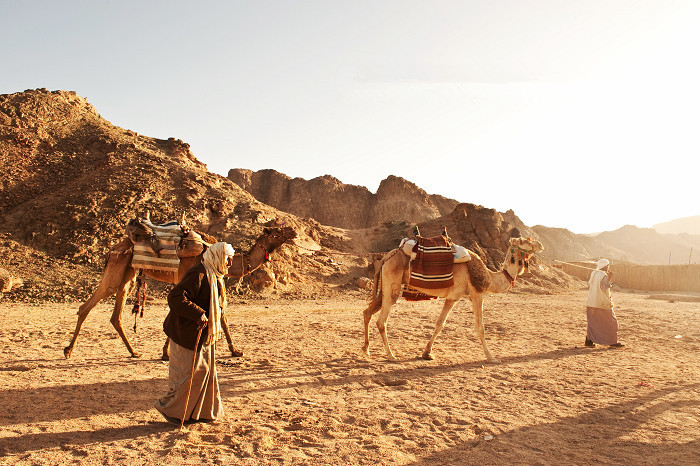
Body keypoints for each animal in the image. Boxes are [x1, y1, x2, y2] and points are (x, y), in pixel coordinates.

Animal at [64, 226, 296, 360]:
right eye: (276, 230)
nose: (294, 231)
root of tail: (113, 249)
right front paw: (166, 352)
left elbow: (222, 317)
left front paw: (235, 351)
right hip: (117, 267)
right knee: (87, 305)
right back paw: (68, 350)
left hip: (128, 275)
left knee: (116, 315)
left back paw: (133, 351)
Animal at [364, 237, 544, 364]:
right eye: (524, 241)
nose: (540, 245)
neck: (490, 278)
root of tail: (386, 258)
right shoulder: (477, 294)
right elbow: (480, 328)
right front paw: (491, 357)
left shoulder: (452, 298)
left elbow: (440, 324)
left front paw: (427, 353)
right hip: (392, 284)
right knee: (381, 321)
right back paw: (391, 355)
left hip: (384, 287)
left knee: (367, 312)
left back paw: (366, 349)